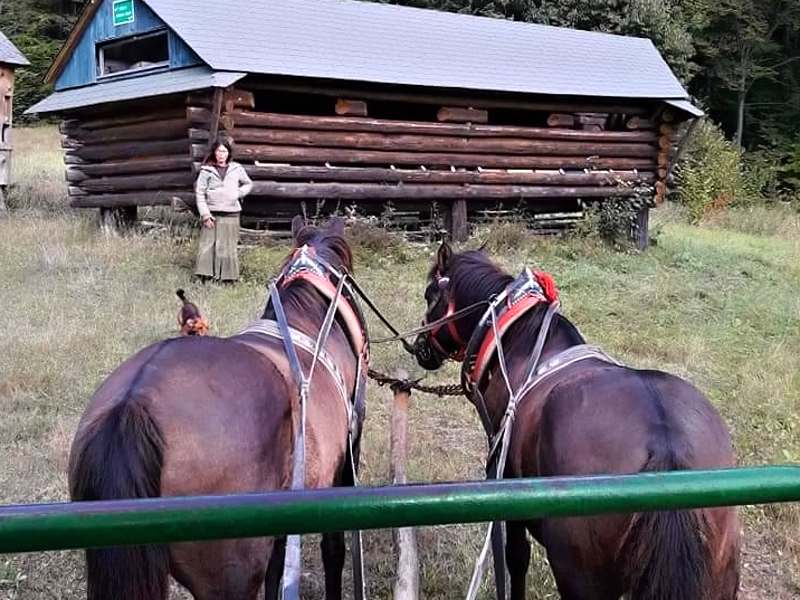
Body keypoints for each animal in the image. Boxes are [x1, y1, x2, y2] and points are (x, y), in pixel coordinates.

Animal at [416, 240, 740, 600]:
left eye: (430, 295)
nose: (419, 347)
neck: (520, 343)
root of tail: (664, 445)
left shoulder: (506, 476)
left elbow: (516, 557)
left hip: (580, 578)